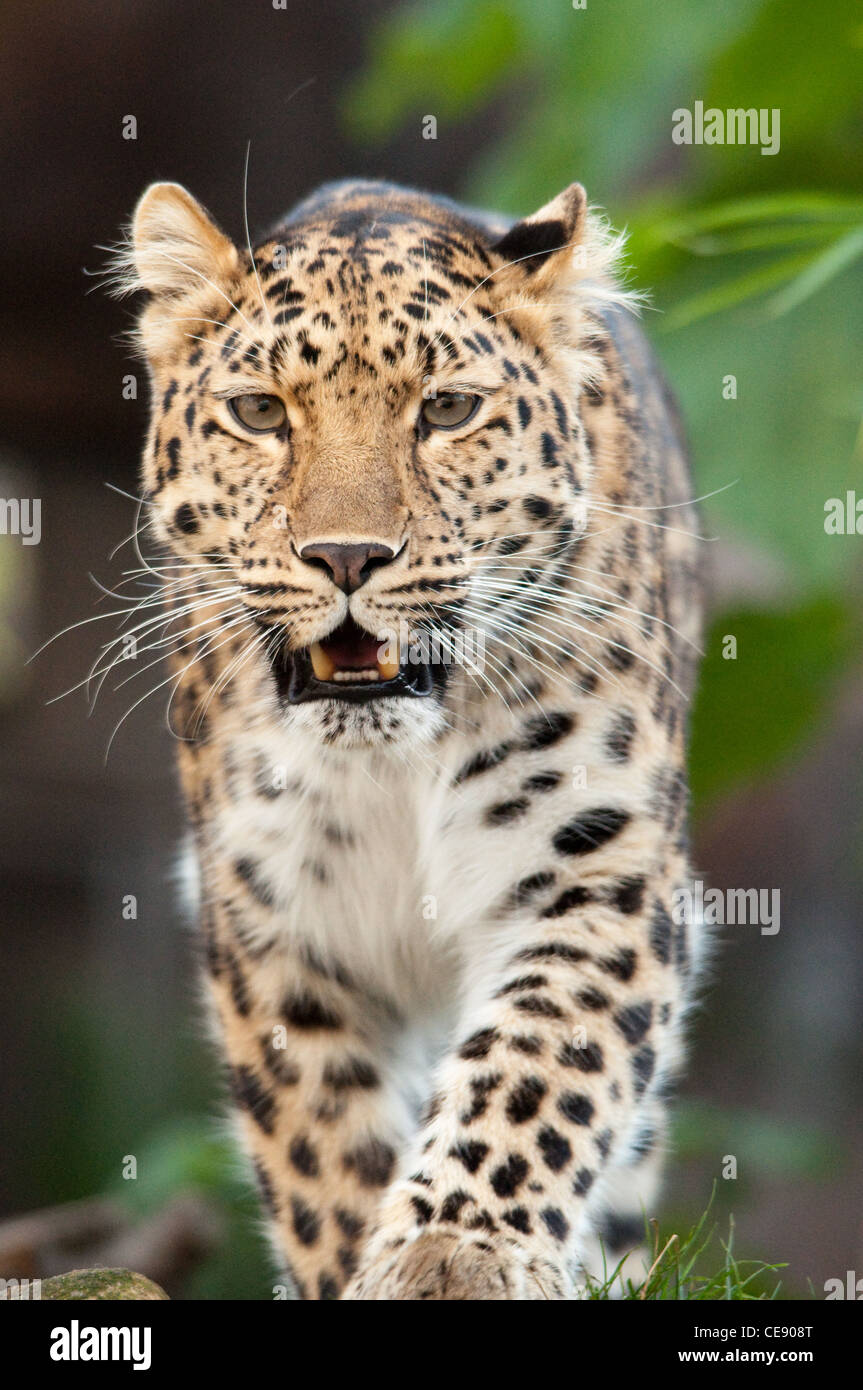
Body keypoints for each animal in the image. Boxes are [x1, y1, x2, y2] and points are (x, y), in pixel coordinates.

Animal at [108, 174, 704, 1300]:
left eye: (447, 410)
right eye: (260, 412)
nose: (345, 556)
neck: (391, 765)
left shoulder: (595, 867)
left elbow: (533, 1071)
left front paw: (452, 1255)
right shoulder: (275, 925)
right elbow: (322, 1151)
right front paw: (363, 1255)